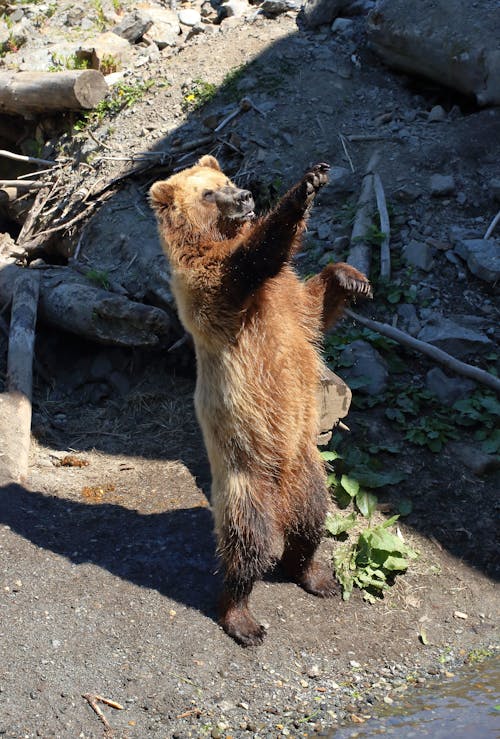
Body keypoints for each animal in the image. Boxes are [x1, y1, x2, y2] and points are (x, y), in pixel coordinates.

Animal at [150, 156, 374, 648]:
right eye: (208, 193)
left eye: (227, 179)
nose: (245, 196)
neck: (214, 237)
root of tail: (280, 503)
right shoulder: (214, 291)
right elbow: (254, 257)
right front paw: (304, 188)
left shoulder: (287, 303)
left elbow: (312, 308)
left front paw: (352, 279)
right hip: (245, 479)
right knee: (247, 548)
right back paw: (243, 619)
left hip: (307, 470)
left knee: (311, 523)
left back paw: (315, 575)